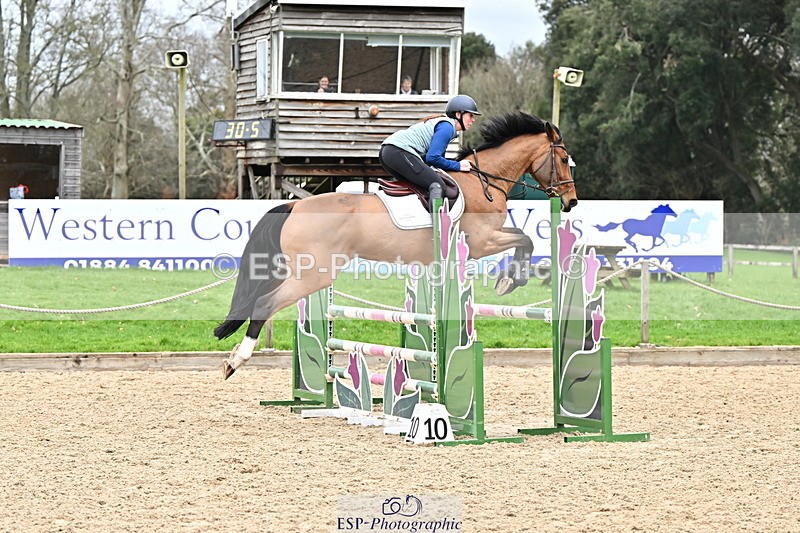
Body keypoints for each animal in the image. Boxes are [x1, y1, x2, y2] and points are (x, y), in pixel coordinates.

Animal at [214, 112, 579, 379]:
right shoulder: (481, 241)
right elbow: (525, 240)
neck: (484, 182)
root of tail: (294, 205)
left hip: (297, 270)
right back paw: (237, 360)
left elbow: (523, 238)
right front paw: (510, 280)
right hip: (314, 274)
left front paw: (509, 279)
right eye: (563, 159)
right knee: (265, 303)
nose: (571, 201)